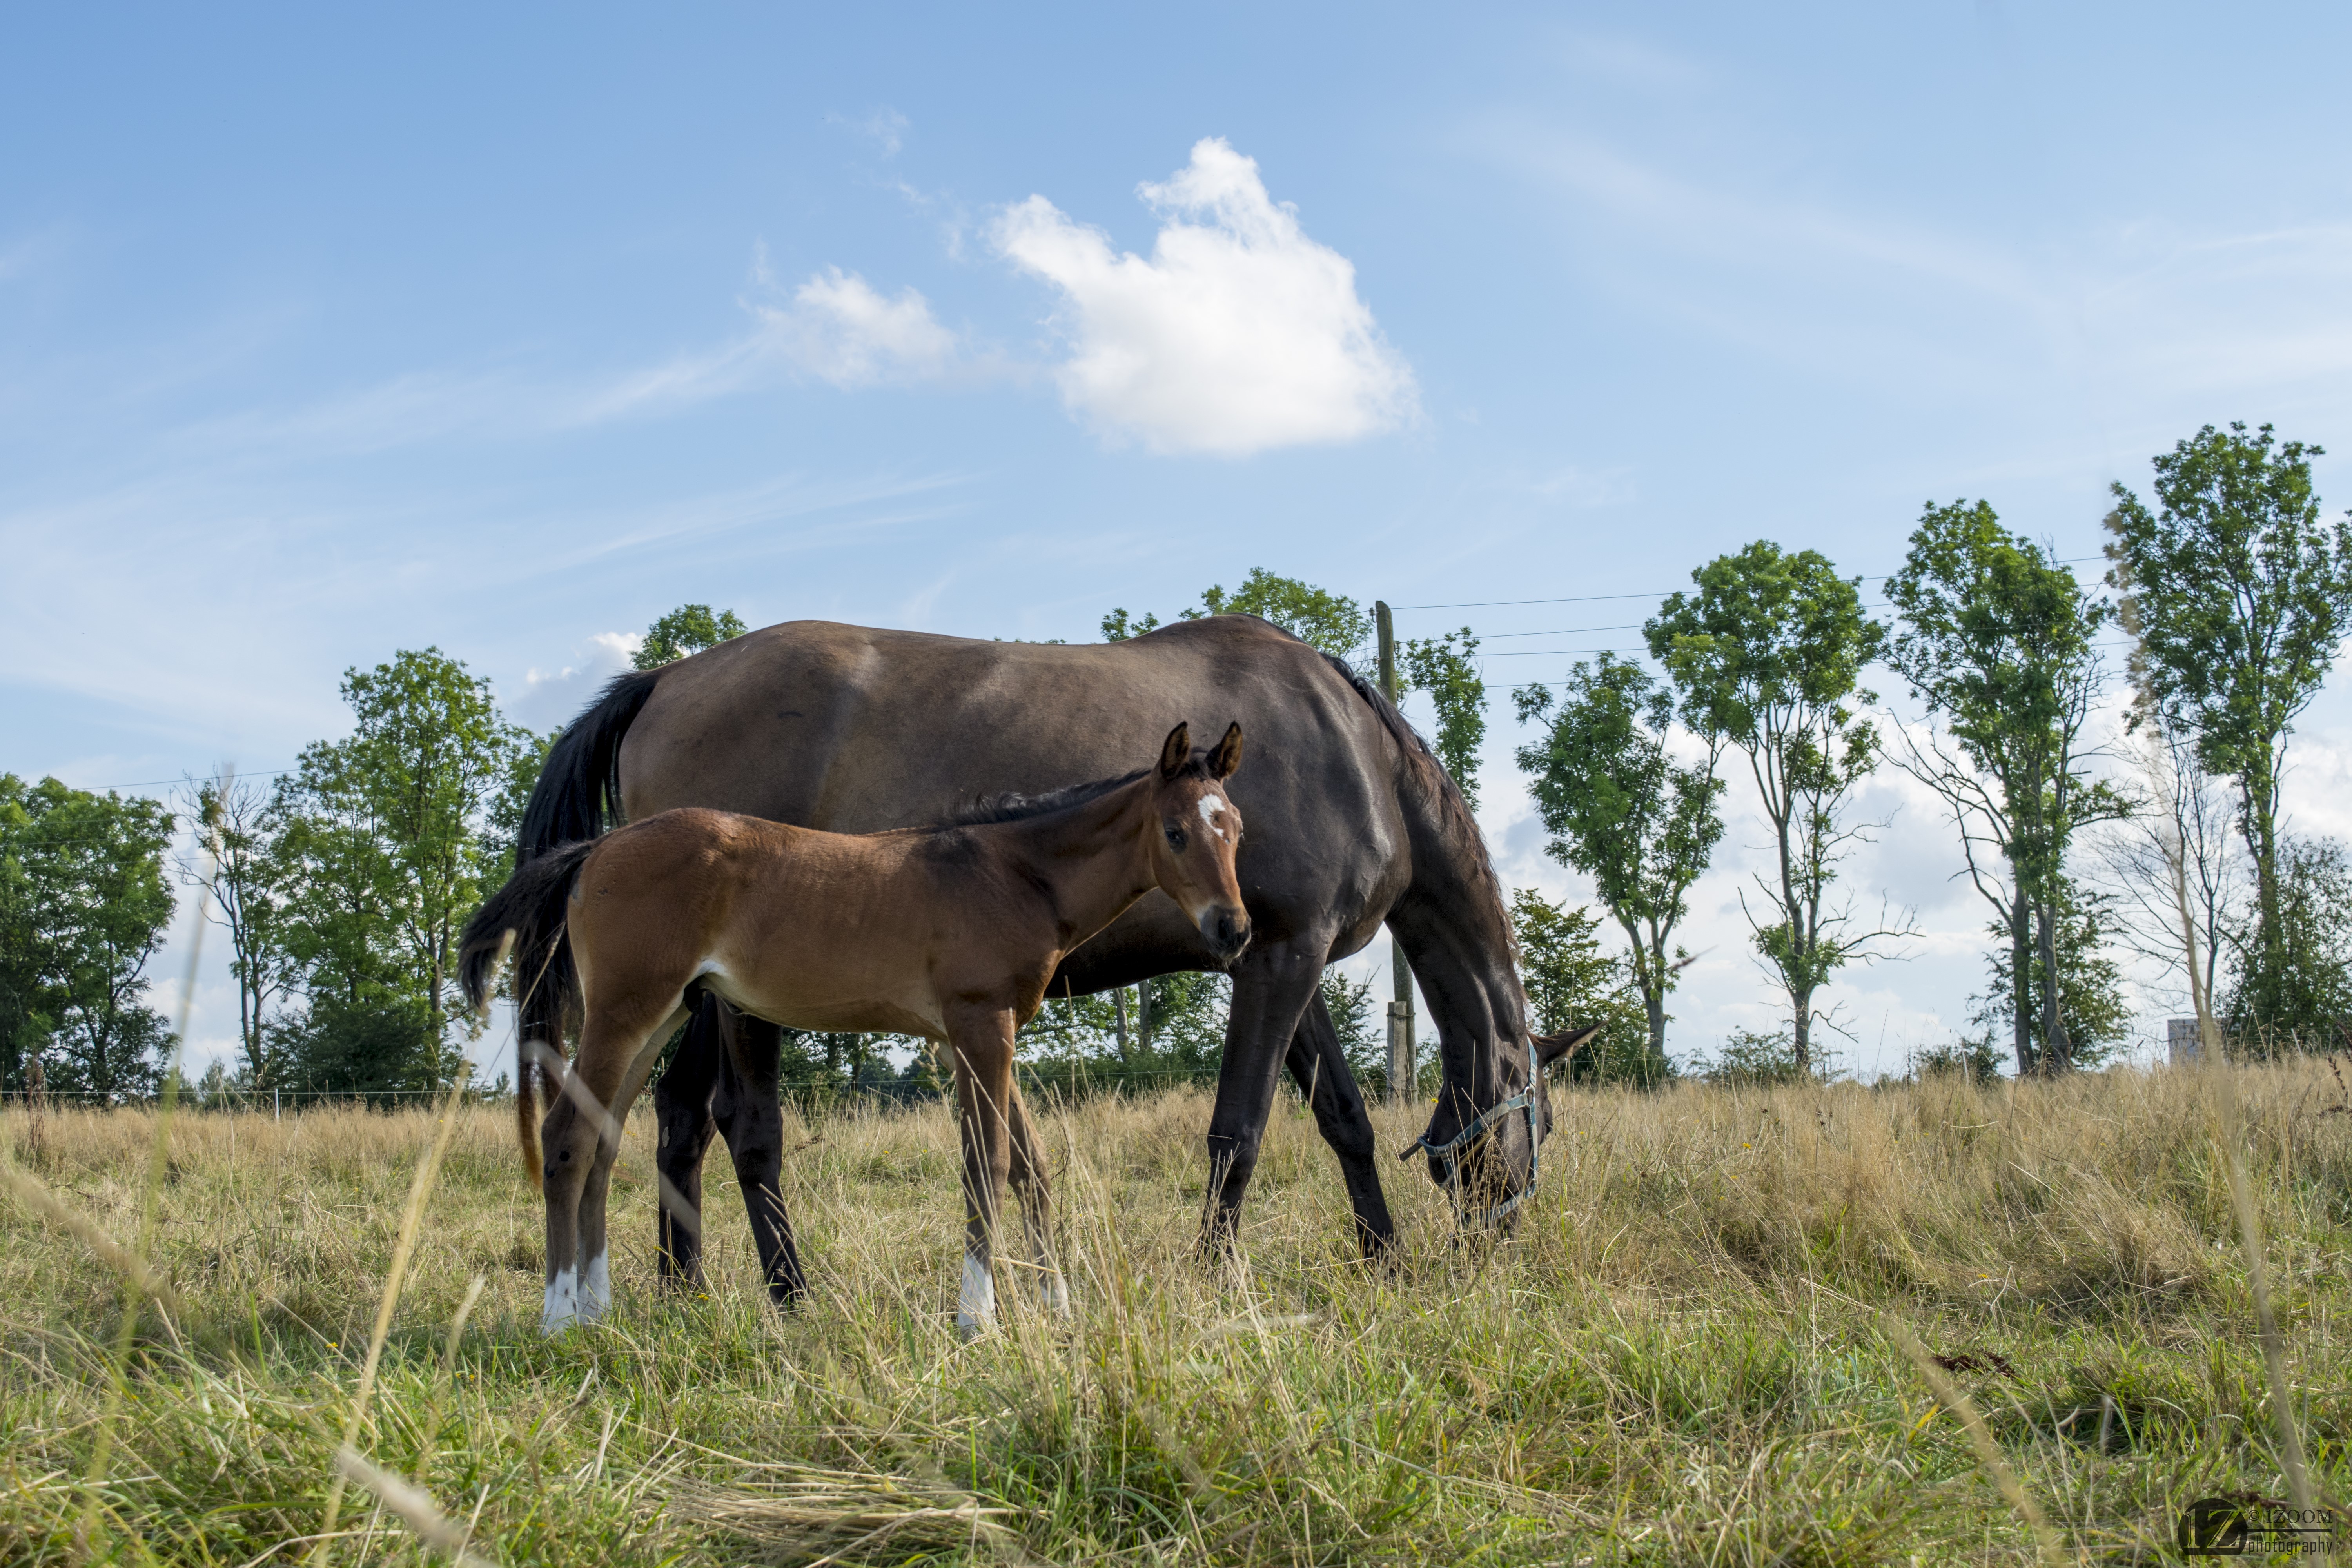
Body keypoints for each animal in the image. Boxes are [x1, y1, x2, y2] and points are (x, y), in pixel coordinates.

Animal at [461, 721, 1250, 1334]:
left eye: (1237, 831)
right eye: (1176, 832)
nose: (1234, 929)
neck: (1011, 872)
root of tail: (596, 850)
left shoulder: (972, 1038)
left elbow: (1033, 1165)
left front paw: (1057, 1306)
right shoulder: (979, 1025)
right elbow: (988, 1165)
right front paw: (978, 1317)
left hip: (661, 1014)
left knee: (603, 1139)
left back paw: (599, 1310)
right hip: (624, 1013)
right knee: (567, 1137)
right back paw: (560, 1318)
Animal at [508, 613, 1569, 1304]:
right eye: (1543, 1125)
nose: (1502, 1250)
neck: (1355, 752)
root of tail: (663, 679)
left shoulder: (1268, 953)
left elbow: (1343, 1117)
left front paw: (1383, 1259)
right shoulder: (1285, 957)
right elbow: (1240, 1130)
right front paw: (1214, 1275)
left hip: (695, 991)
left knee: (676, 1116)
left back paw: (680, 1289)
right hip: (732, 1001)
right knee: (743, 1120)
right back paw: (787, 1292)